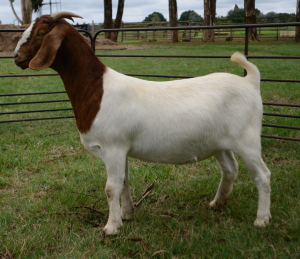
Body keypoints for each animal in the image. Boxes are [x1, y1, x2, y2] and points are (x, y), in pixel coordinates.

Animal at [14, 11, 272, 236]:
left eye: (40, 33)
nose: (16, 57)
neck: (97, 90)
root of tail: (250, 82)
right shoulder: (122, 149)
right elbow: (124, 182)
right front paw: (126, 214)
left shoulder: (113, 148)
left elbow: (111, 188)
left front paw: (111, 228)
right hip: (220, 143)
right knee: (230, 169)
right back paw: (217, 203)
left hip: (247, 140)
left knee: (263, 175)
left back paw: (262, 219)